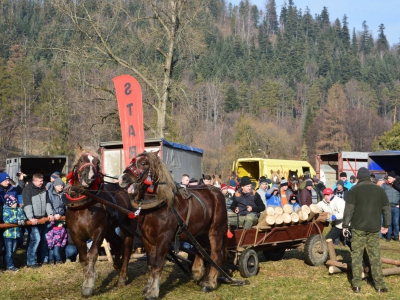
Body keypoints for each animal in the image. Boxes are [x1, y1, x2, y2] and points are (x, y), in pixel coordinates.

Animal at [64, 146, 136, 298]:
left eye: (97, 163)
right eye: (81, 160)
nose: (89, 177)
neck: (83, 207)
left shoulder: (99, 231)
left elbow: (92, 255)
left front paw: (88, 285)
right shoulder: (75, 235)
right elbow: (83, 258)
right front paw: (89, 276)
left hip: (126, 226)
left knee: (126, 247)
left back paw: (122, 276)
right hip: (110, 230)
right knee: (117, 243)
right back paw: (118, 266)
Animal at [119, 152, 228, 300]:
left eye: (143, 163)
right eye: (132, 161)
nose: (122, 178)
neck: (158, 206)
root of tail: (217, 191)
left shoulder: (164, 238)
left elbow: (157, 264)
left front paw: (153, 292)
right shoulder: (147, 239)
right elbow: (150, 265)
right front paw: (147, 288)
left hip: (216, 231)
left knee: (216, 254)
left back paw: (209, 283)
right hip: (197, 231)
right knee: (201, 249)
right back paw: (197, 272)